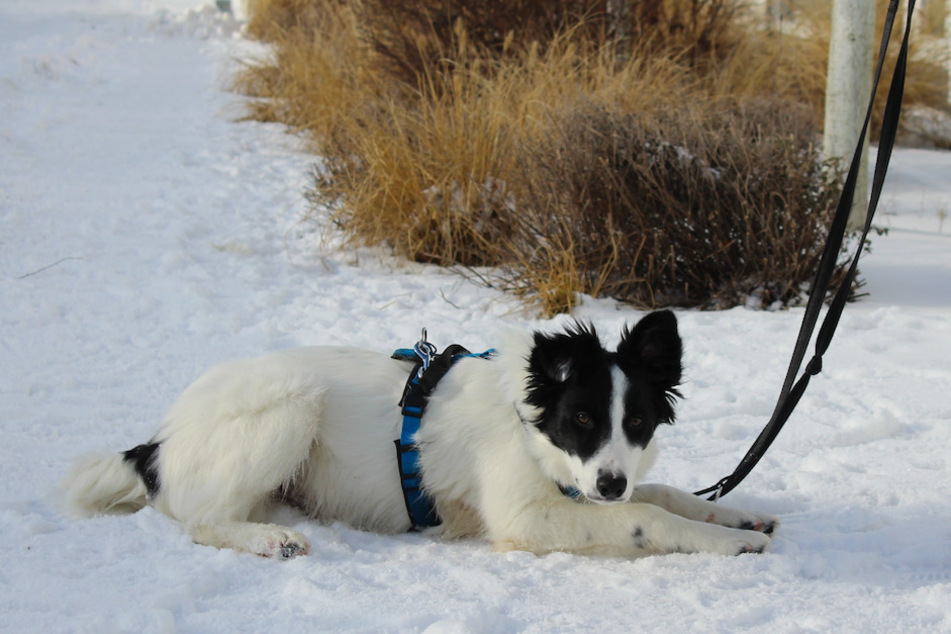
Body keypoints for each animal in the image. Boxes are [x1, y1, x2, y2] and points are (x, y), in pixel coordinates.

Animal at [63, 312, 776, 556]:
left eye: (636, 423)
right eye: (580, 419)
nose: (608, 483)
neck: (529, 425)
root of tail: (157, 441)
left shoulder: (596, 485)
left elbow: (664, 496)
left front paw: (736, 516)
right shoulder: (525, 515)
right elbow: (646, 518)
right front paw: (726, 543)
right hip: (291, 400)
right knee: (200, 520)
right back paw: (269, 540)